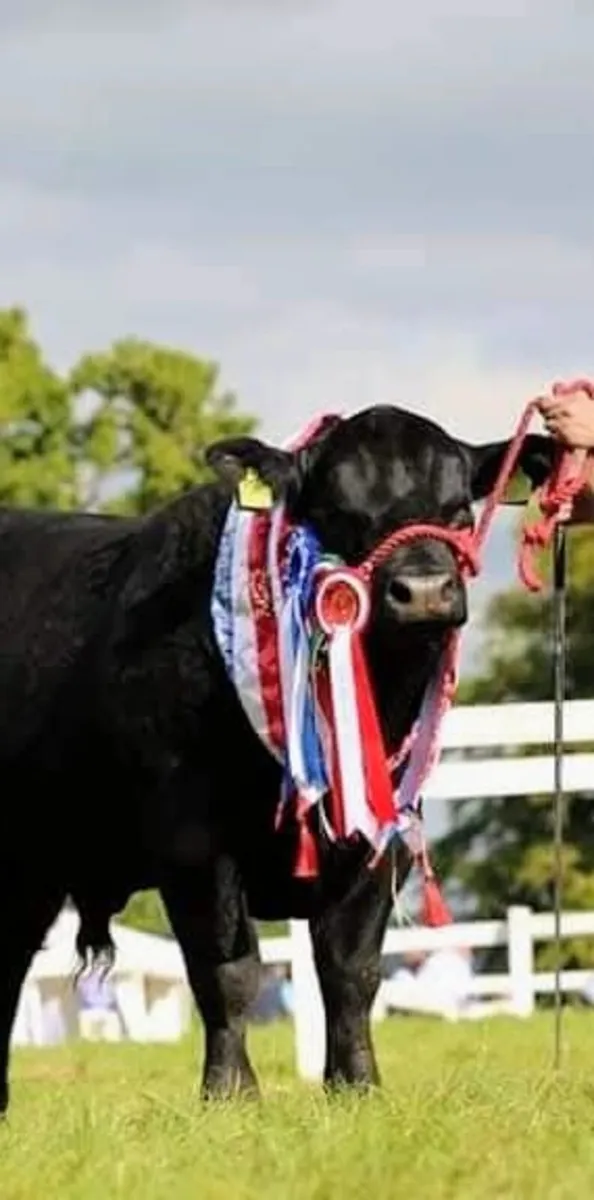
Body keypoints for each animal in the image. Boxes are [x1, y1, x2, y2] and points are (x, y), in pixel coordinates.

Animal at [0, 404, 555, 1114]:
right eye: (340, 513)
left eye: (458, 508)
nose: (425, 590)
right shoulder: (196, 845)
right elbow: (228, 971)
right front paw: (230, 1093)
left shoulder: (378, 842)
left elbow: (350, 971)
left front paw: (357, 1087)